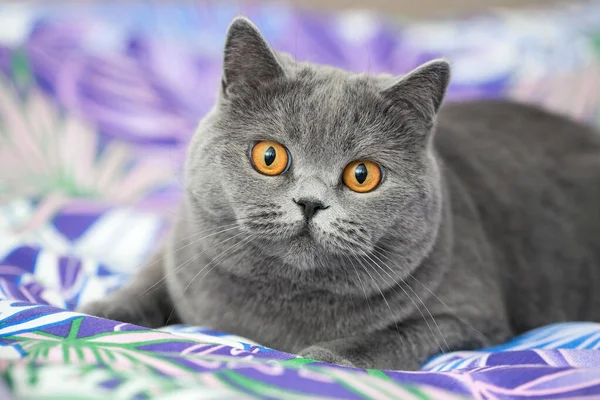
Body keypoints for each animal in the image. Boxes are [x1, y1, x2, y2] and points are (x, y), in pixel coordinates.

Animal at [77, 17, 600, 370]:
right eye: (269, 156)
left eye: (362, 175)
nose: (310, 202)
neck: (282, 304)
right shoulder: (181, 245)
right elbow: (148, 278)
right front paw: (100, 310)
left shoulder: (472, 319)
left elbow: (396, 336)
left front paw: (324, 359)